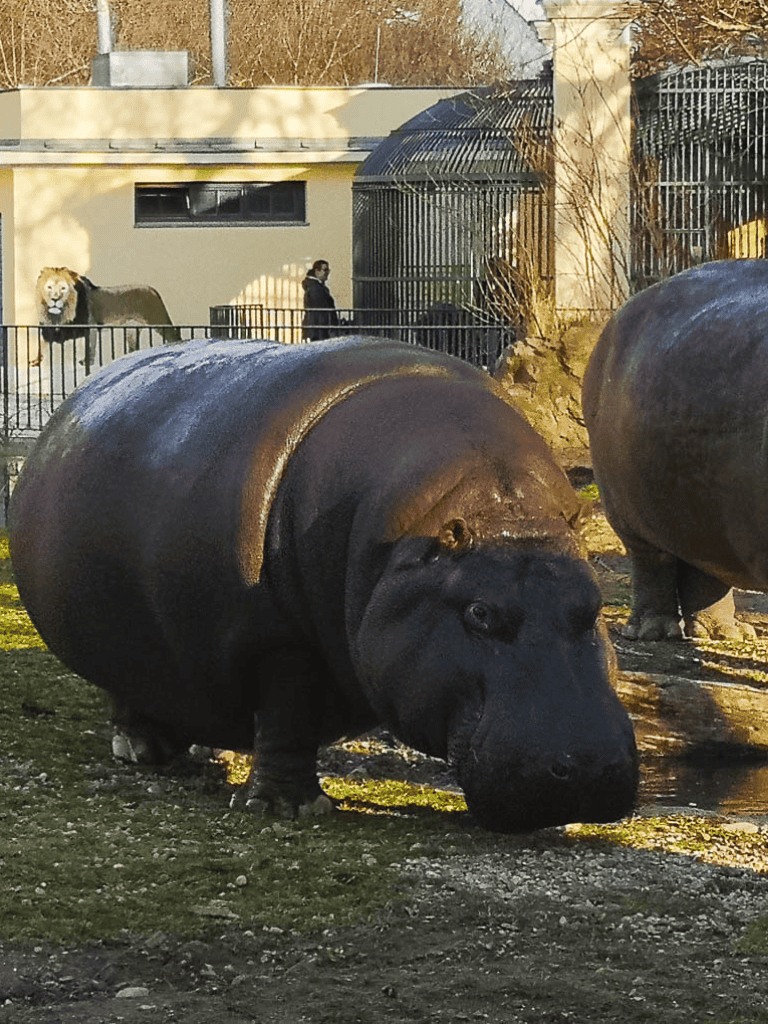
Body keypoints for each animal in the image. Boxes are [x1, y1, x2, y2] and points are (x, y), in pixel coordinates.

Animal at [9, 336, 638, 832]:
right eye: (478, 612)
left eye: (594, 605)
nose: (589, 767)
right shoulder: (277, 639)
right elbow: (288, 712)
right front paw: (285, 809)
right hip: (117, 643)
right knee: (128, 694)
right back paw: (144, 751)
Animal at [34, 266, 180, 367]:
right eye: (49, 287)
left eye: (63, 288)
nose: (54, 299)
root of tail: (153, 290)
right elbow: (45, 340)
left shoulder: (90, 326)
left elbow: (90, 346)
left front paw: (88, 362)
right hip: (132, 329)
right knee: (134, 348)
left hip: (158, 321)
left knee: (173, 335)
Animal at [582, 259, 768, 642]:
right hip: (627, 512)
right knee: (652, 564)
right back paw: (653, 631)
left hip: (701, 512)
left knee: (707, 567)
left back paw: (724, 635)